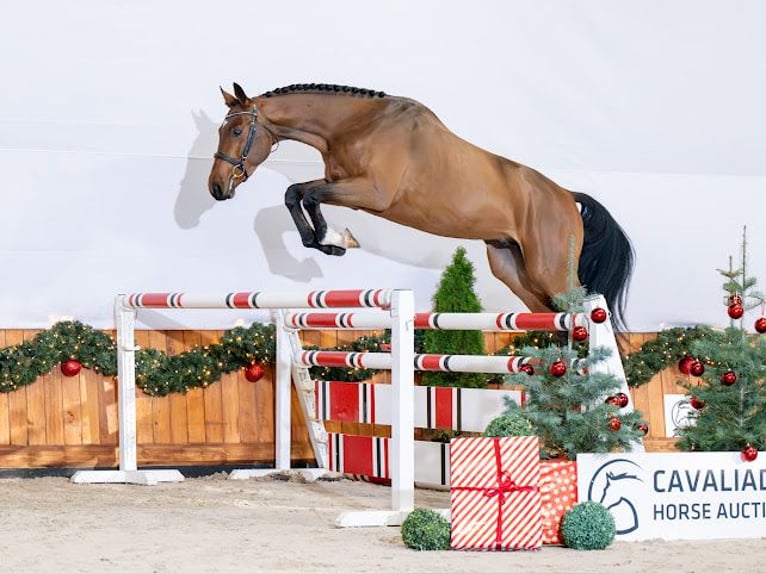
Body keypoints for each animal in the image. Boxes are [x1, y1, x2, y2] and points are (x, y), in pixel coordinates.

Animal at [208, 83, 634, 330]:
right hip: (513, 270)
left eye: (237, 130)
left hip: (550, 272)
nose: (216, 187)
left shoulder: (371, 193)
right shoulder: (342, 184)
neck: (357, 125)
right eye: (222, 130)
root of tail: (565, 194)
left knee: (586, 315)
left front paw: (335, 240)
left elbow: (305, 195)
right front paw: (328, 243)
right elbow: (294, 193)